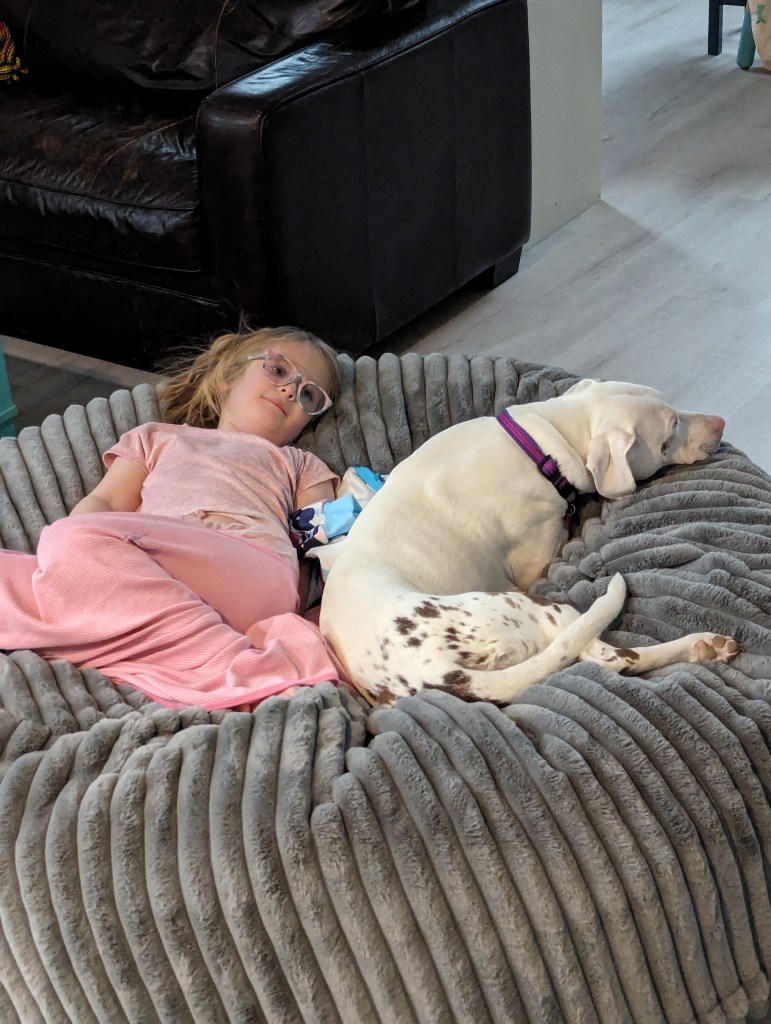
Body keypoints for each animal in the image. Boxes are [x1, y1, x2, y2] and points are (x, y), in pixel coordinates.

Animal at [319, 380, 741, 708]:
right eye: (671, 431)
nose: (721, 423)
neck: (545, 443)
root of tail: (430, 674)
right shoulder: (537, 561)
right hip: (539, 609)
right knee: (610, 656)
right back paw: (701, 643)